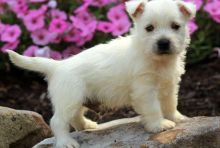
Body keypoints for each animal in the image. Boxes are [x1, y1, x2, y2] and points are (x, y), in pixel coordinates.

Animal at [7, 0, 196, 147]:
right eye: (149, 28)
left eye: (175, 26)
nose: (163, 43)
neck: (154, 58)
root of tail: (58, 65)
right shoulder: (145, 89)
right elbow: (154, 108)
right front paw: (159, 124)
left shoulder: (169, 86)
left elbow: (170, 104)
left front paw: (178, 118)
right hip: (69, 98)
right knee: (58, 121)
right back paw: (66, 142)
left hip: (79, 100)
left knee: (75, 117)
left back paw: (87, 125)